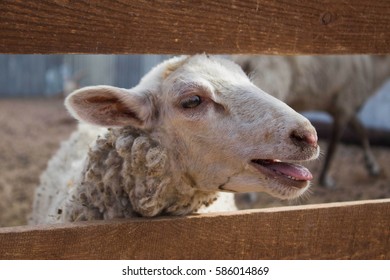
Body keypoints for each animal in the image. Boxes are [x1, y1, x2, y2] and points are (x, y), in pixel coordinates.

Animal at [233, 54, 390, 188]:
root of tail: (245, 60)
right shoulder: (345, 104)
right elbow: (336, 144)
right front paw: (326, 179)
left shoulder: (340, 107)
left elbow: (360, 130)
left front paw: (372, 167)